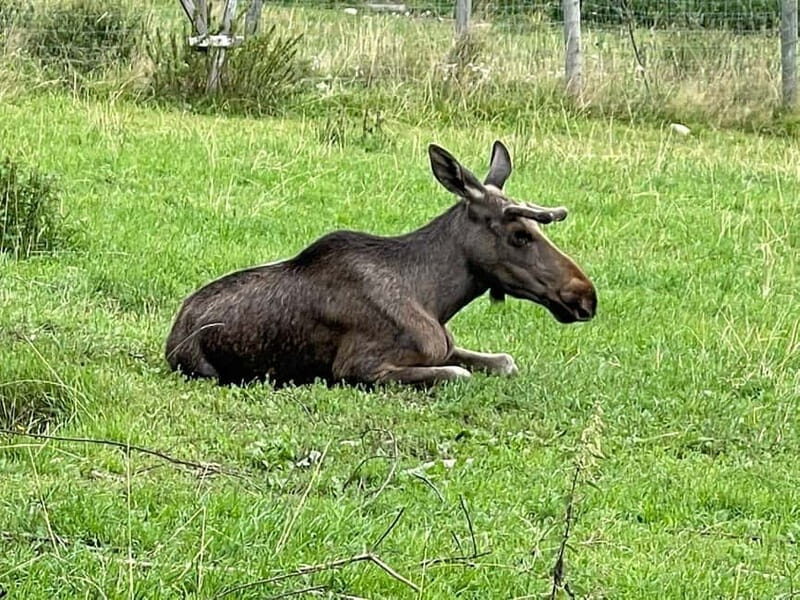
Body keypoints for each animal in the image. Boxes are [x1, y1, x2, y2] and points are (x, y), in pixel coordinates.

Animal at [164, 141, 597, 387]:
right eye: (520, 235)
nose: (586, 296)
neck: (436, 300)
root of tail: (173, 332)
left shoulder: (447, 347)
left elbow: (505, 362)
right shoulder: (360, 368)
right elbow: (458, 375)